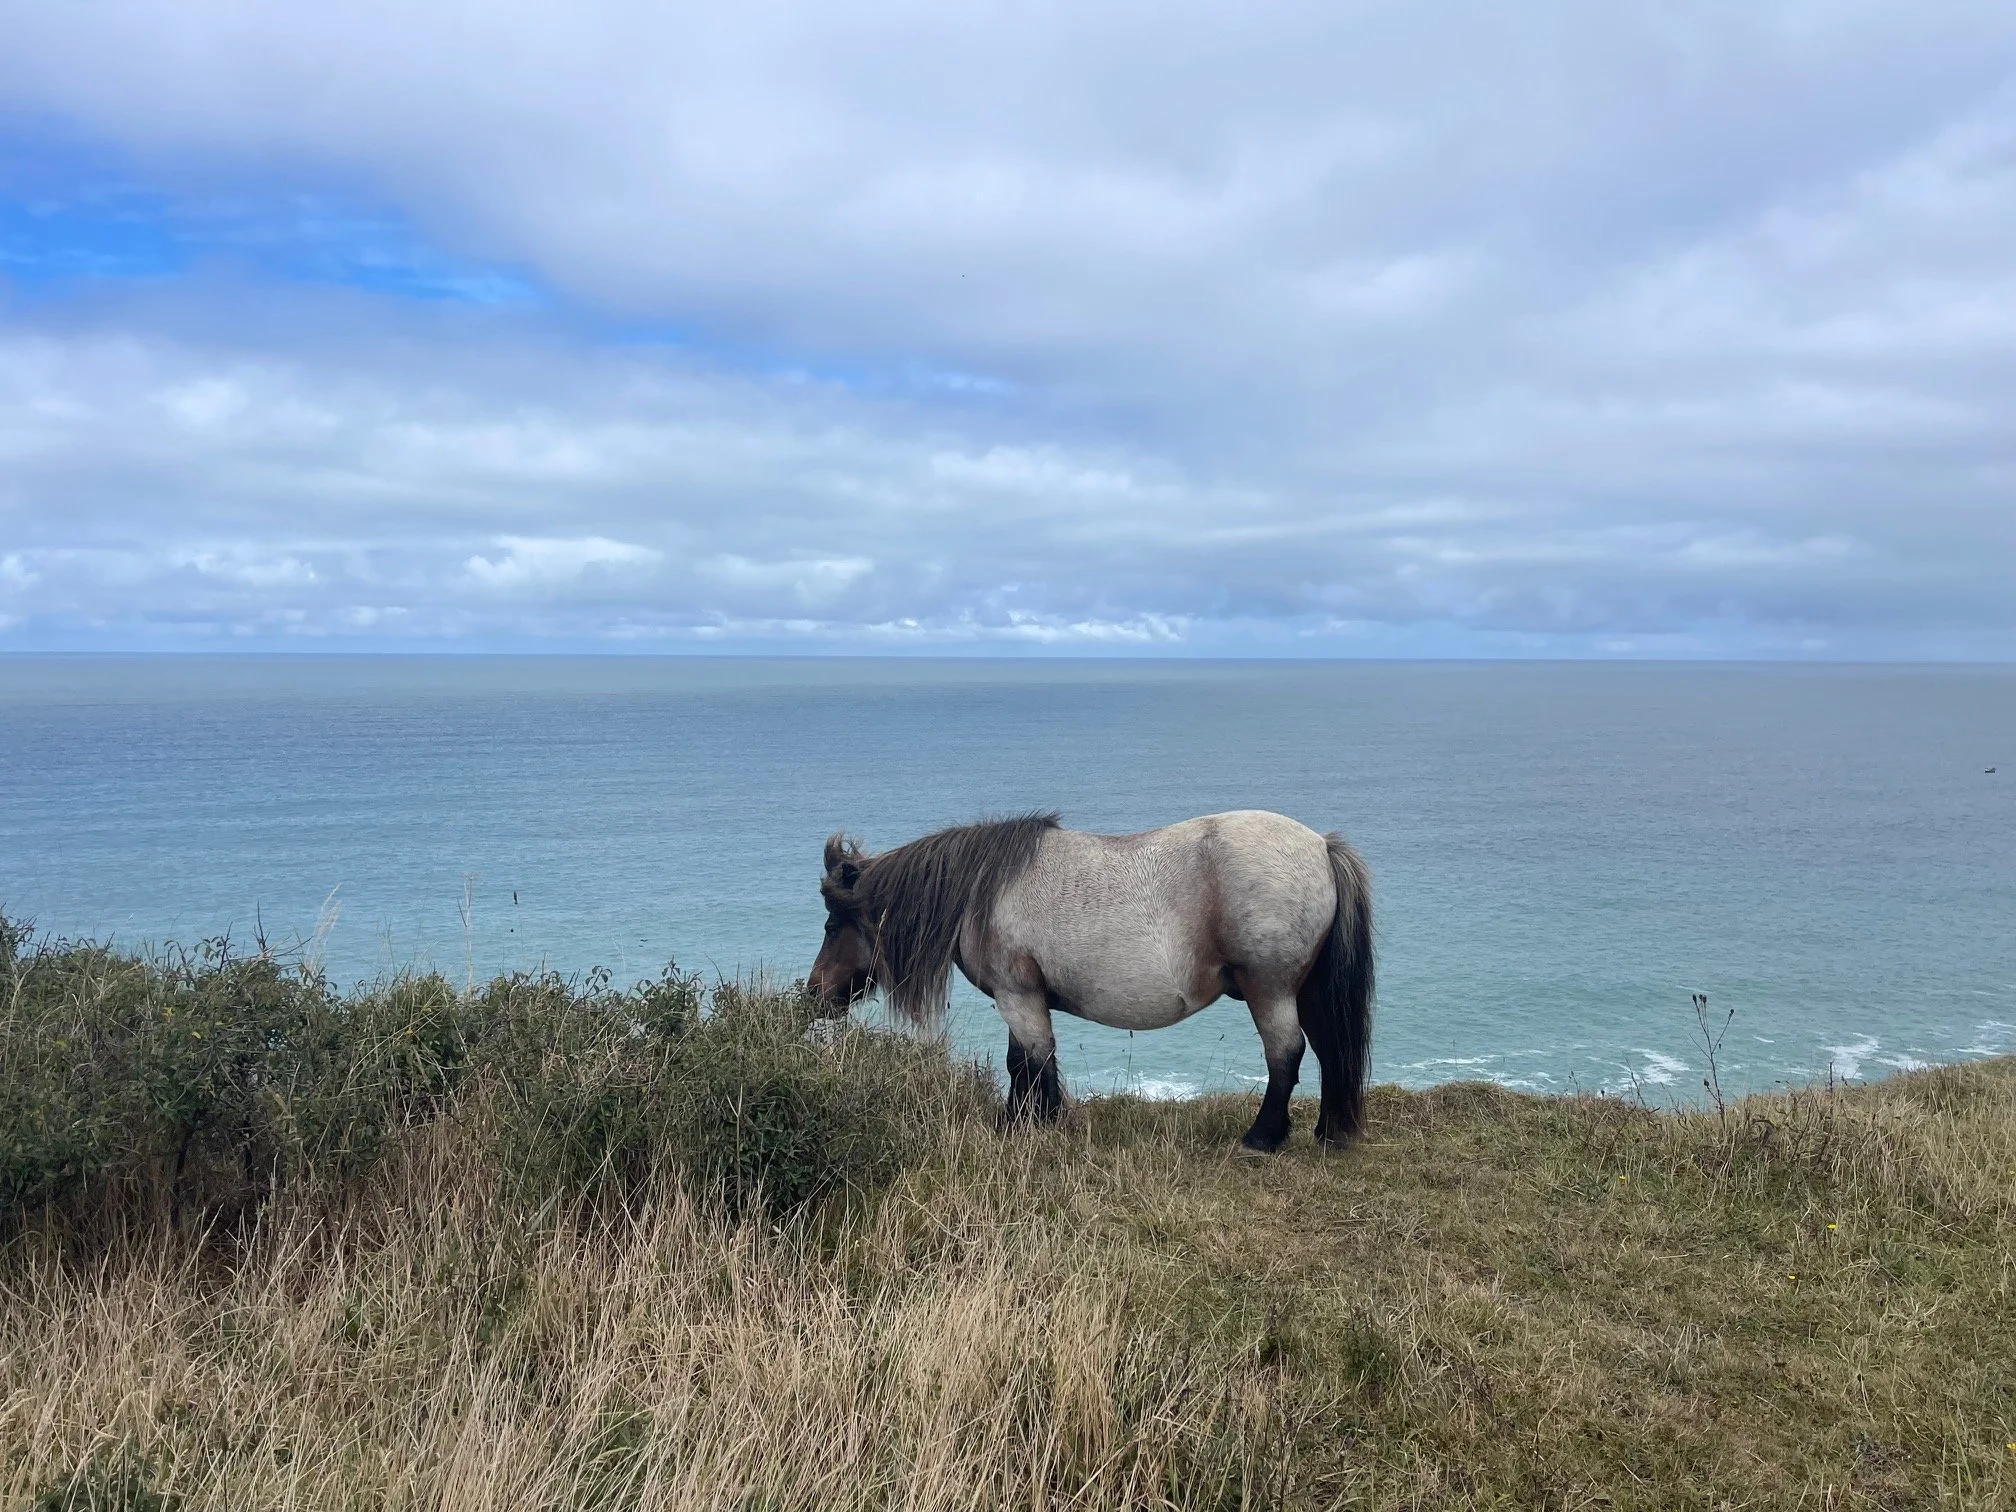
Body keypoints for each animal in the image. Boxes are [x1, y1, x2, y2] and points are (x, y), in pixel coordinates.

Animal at [807, 810, 1374, 1151]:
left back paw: (1262, 1137)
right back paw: (1328, 1132)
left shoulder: (1018, 997)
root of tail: (1321, 846)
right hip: (1306, 991)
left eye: (833, 925)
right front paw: (1018, 1120)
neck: (981, 892)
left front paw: (1038, 1122)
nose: (815, 993)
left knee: (1286, 1054)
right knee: (1328, 1050)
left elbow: (1033, 1062)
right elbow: (1021, 1062)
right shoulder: (1022, 998)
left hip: (1269, 989)